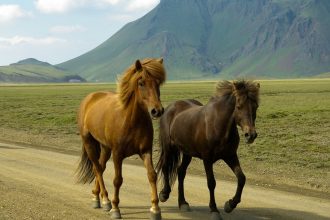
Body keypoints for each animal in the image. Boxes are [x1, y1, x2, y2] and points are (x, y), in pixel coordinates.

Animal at [76, 57, 166, 219]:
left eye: (158, 83)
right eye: (141, 83)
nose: (157, 111)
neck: (131, 120)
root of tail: (89, 98)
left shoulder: (146, 151)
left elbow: (152, 175)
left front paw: (155, 209)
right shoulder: (118, 154)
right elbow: (118, 180)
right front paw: (115, 208)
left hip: (105, 147)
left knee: (101, 167)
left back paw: (96, 197)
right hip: (89, 143)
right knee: (97, 168)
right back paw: (105, 200)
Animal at [156, 80, 260, 219]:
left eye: (256, 106)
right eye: (239, 106)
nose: (251, 135)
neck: (218, 126)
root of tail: (170, 107)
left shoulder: (230, 156)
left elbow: (241, 178)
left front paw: (230, 205)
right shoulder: (207, 159)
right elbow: (211, 183)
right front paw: (214, 210)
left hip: (188, 153)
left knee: (181, 172)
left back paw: (183, 203)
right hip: (168, 147)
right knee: (166, 166)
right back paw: (164, 194)